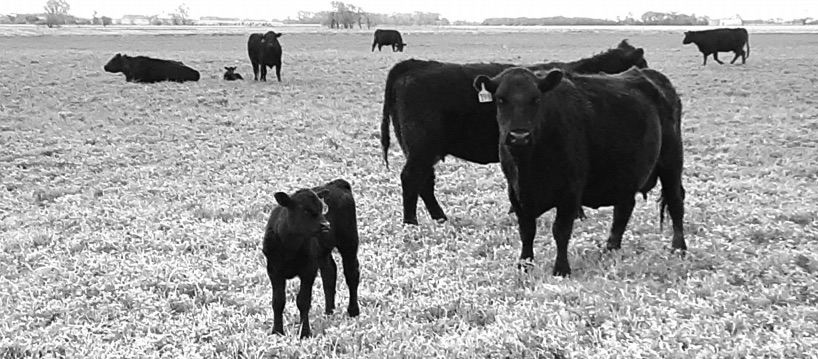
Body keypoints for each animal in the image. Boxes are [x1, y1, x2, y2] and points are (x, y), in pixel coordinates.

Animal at [262, 180, 360, 340]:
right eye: (305, 211)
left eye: (322, 208)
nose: (326, 225)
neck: (290, 247)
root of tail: (337, 184)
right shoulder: (273, 270)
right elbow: (278, 301)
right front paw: (277, 332)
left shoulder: (308, 270)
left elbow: (303, 301)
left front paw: (305, 333)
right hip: (322, 251)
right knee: (329, 272)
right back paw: (329, 311)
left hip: (349, 241)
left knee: (352, 274)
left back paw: (353, 311)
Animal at [380, 39, 648, 225]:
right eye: (641, 64)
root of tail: (413, 65)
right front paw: (578, 214)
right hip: (421, 146)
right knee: (411, 178)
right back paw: (411, 223)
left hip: (422, 149)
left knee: (425, 181)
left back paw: (439, 217)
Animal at [468, 66, 684, 278]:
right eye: (500, 99)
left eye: (536, 99)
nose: (519, 136)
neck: (528, 168)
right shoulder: (515, 192)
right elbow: (527, 230)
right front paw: (524, 265)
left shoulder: (571, 191)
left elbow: (561, 230)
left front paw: (561, 269)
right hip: (626, 175)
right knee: (624, 208)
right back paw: (610, 248)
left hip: (671, 161)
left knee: (675, 201)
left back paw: (678, 248)